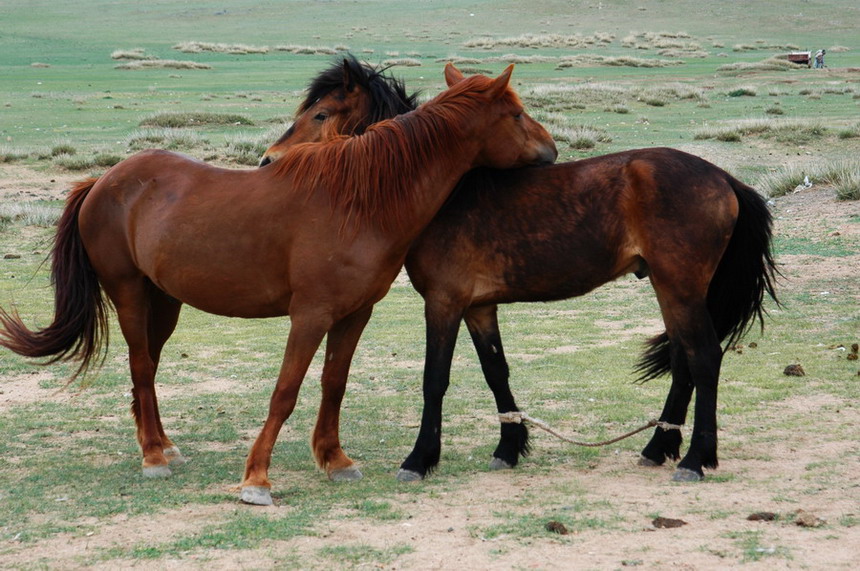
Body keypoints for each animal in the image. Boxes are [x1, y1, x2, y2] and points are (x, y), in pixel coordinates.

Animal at [0, 65, 556, 508]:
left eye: (322, 114)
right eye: (515, 114)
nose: (551, 153)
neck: (359, 201)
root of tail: (102, 181)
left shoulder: (354, 314)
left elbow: (334, 384)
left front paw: (334, 460)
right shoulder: (309, 315)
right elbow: (285, 392)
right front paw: (256, 480)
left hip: (165, 301)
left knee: (149, 370)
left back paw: (162, 446)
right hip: (130, 293)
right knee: (139, 367)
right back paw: (154, 457)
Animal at [262, 73, 780, 482]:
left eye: (321, 114)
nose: (270, 161)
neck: (444, 193)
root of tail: (724, 178)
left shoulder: (444, 302)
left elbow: (435, 379)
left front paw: (419, 459)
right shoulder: (478, 306)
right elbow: (496, 373)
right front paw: (509, 449)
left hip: (680, 287)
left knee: (704, 358)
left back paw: (694, 459)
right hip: (669, 288)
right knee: (683, 360)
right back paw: (658, 448)